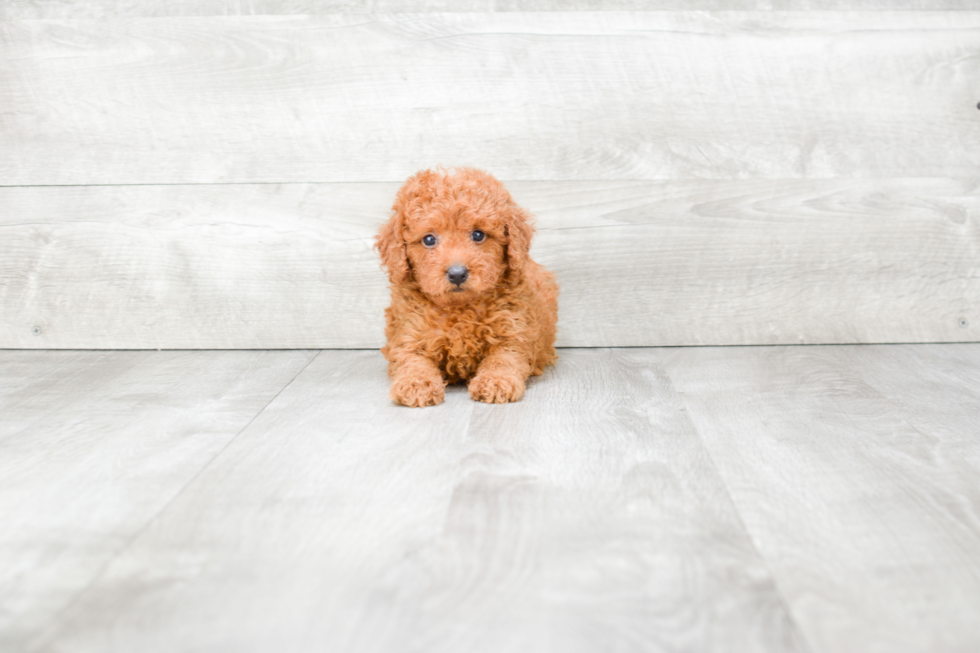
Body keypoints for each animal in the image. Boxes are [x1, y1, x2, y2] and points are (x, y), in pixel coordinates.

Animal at [376, 167, 560, 408]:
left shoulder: (513, 331)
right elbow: (412, 361)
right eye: (428, 239)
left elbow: (503, 359)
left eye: (478, 234)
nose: (457, 274)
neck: (460, 309)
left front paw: (495, 381)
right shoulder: (409, 335)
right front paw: (416, 384)